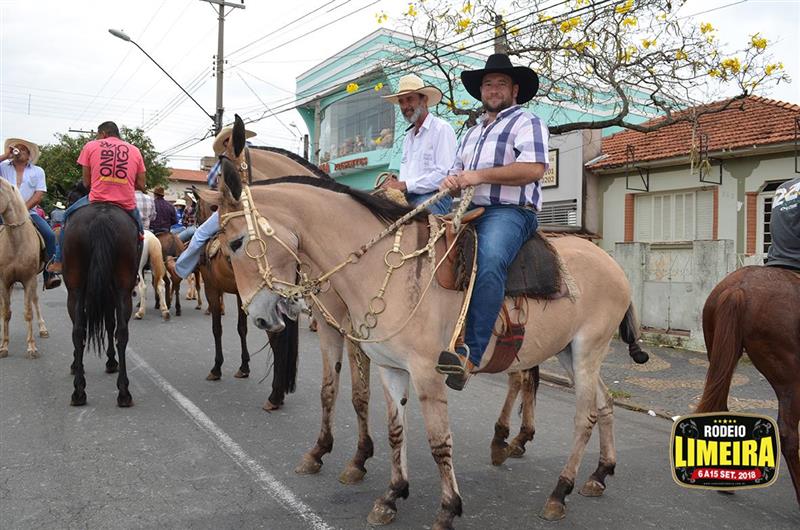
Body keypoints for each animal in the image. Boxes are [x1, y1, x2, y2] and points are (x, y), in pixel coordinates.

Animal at [0, 177, 49, 358]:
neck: (16, 241)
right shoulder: (4, 282)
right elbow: (6, 312)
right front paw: (4, 346)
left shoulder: (28, 280)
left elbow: (28, 313)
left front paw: (31, 347)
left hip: (33, 281)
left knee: (35, 300)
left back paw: (42, 328)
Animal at [62, 200, 139, 407]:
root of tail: (101, 217)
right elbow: (110, 324)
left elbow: (108, 323)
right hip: (120, 289)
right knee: (119, 332)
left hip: (77, 290)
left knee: (80, 331)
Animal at [206, 122, 647, 526]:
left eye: (236, 243)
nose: (260, 315)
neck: (379, 264)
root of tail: (609, 261)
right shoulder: (388, 366)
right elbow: (390, 427)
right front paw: (391, 494)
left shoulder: (425, 373)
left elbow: (436, 440)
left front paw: (447, 508)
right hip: (571, 353)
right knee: (602, 404)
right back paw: (599, 473)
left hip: (587, 351)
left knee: (582, 416)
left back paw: (558, 489)